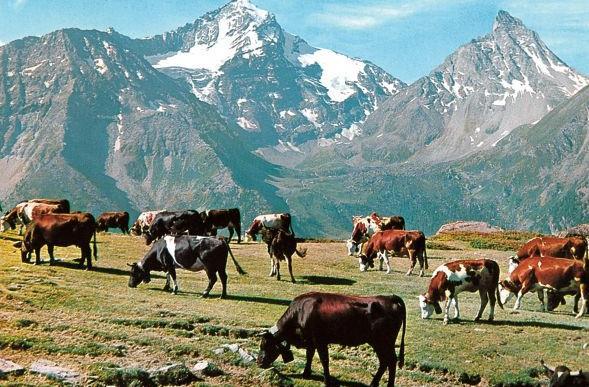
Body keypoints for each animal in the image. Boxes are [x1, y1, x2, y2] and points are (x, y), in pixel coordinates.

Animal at [258, 292, 404, 386]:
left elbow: (324, 360)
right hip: (381, 343)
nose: (259, 362)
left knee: (390, 361)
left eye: (265, 344)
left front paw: (326, 380)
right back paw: (374, 383)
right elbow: (309, 355)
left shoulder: (320, 340)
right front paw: (306, 373)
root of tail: (390, 298)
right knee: (385, 362)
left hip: (382, 342)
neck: (301, 312)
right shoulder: (311, 341)